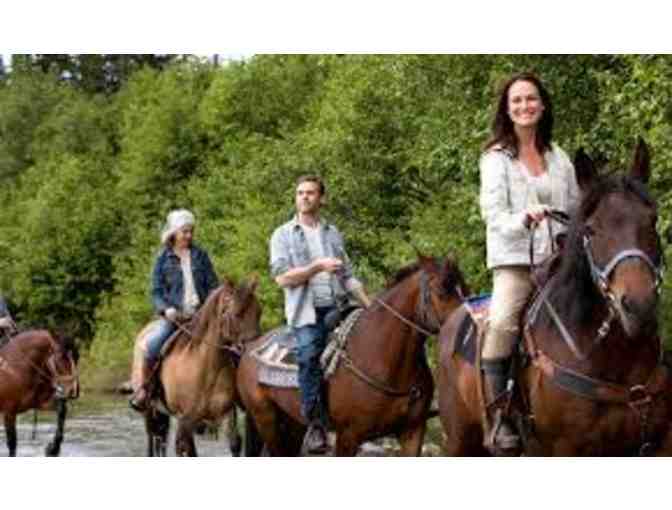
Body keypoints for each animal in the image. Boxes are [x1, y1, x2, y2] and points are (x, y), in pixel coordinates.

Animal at [132, 277, 262, 456]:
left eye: (259, 312)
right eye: (237, 314)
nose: (255, 349)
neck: (207, 368)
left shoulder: (228, 411)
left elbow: (235, 443)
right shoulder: (185, 419)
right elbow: (187, 449)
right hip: (150, 409)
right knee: (153, 440)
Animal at [237, 254, 468, 456]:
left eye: (465, 289)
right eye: (441, 291)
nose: (465, 326)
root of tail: (251, 348)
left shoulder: (413, 431)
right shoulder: (348, 436)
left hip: (293, 423)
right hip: (266, 419)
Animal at [438, 140, 672, 456]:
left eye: (653, 220)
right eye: (591, 229)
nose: (639, 305)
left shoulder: (660, 443)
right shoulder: (564, 448)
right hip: (460, 441)